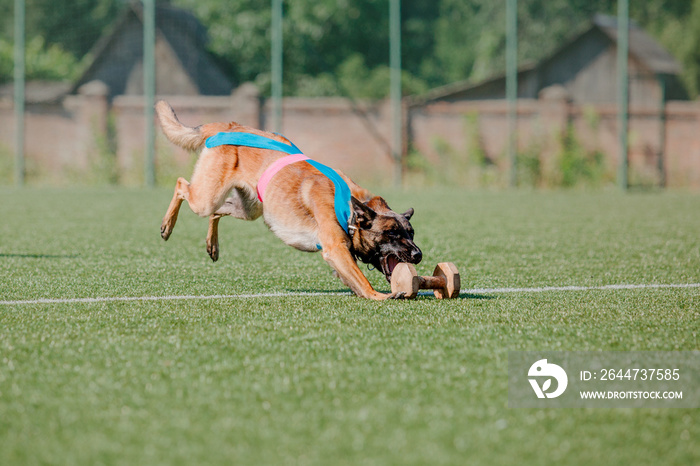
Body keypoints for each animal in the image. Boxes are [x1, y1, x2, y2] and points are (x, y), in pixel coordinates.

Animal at [156, 100, 422, 300]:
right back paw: (167, 224)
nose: (418, 255)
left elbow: (354, 281)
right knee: (181, 185)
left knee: (216, 212)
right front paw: (381, 296)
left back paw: (212, 244)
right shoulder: (335, 250)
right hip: (206, 197)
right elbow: (363, 282)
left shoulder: (340, 257)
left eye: (411, 233)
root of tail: (228, 126)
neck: (348, 209)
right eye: (391, 233)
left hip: (248, 209)